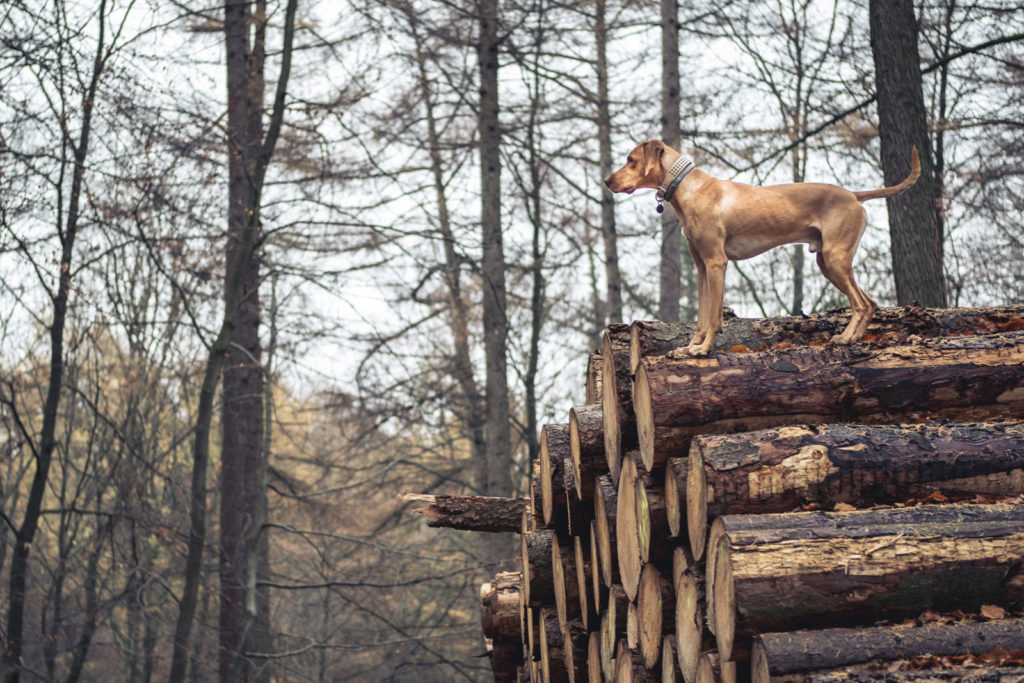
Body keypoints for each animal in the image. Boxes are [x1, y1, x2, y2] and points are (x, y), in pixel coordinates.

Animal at [606, 137, 921, 356]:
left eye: (630, 160)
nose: (607, 180)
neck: (687, 188)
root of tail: (854, 195)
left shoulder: (716, 262)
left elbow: (713, 316)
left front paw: (705, 349)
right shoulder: (701, 267)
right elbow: (701, 315)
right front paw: (691, 347)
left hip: (834, 259)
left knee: (861, 303)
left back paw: (845, 338)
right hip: (828, 261)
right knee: (870, 303)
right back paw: (853, 337)